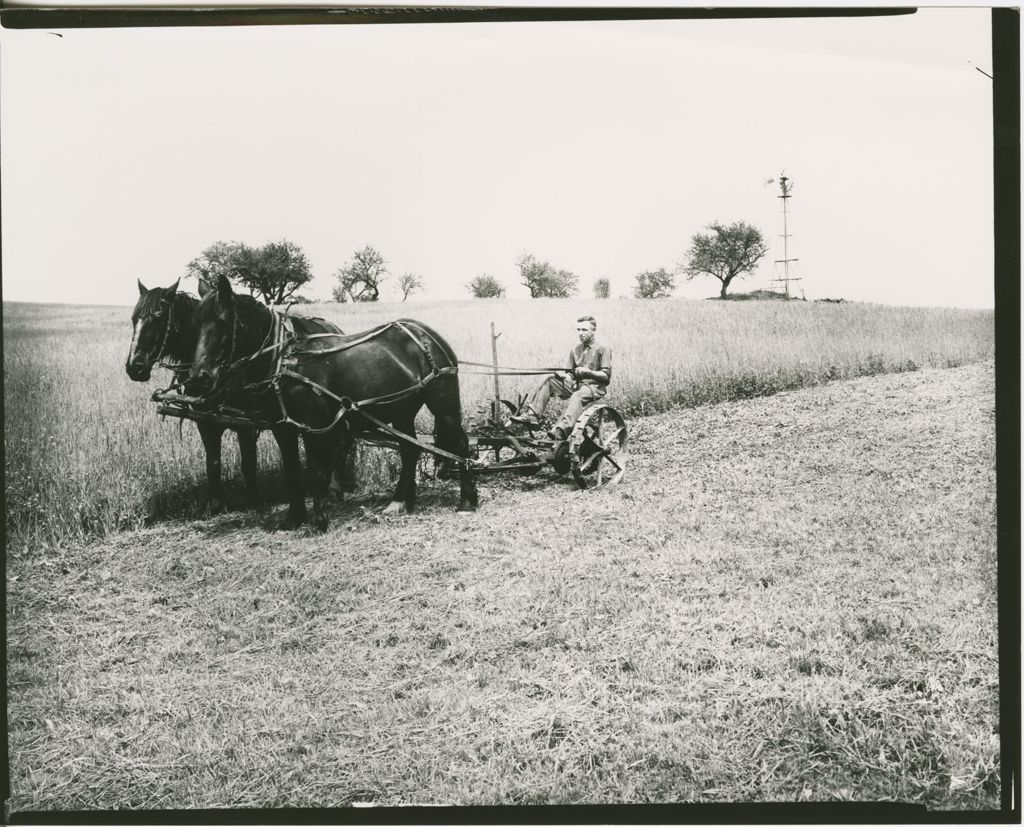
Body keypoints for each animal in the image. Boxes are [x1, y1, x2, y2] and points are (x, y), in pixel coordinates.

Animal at [122, 280, 348, 513]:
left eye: (157, 317)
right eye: (134, 319)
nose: (134, 367)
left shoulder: (245, 424)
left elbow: (248, 463)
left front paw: (254, 502)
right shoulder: (206, 423)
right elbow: (213, 464)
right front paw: (215, 506)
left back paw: (335, 488)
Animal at [188, 272, 479, 528]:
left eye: (222, 320)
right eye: (195, 323)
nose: (198, 377)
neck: (285, 360)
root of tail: (426, 334)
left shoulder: (315, 426)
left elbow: (317, 470)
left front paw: (318, 520)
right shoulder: (283, 428)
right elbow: (292, 470)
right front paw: (293, 519)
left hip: (443, 403)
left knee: (460, 444)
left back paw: (466, 501)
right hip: (402, 410)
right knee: (410, 450)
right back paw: (400, 502)